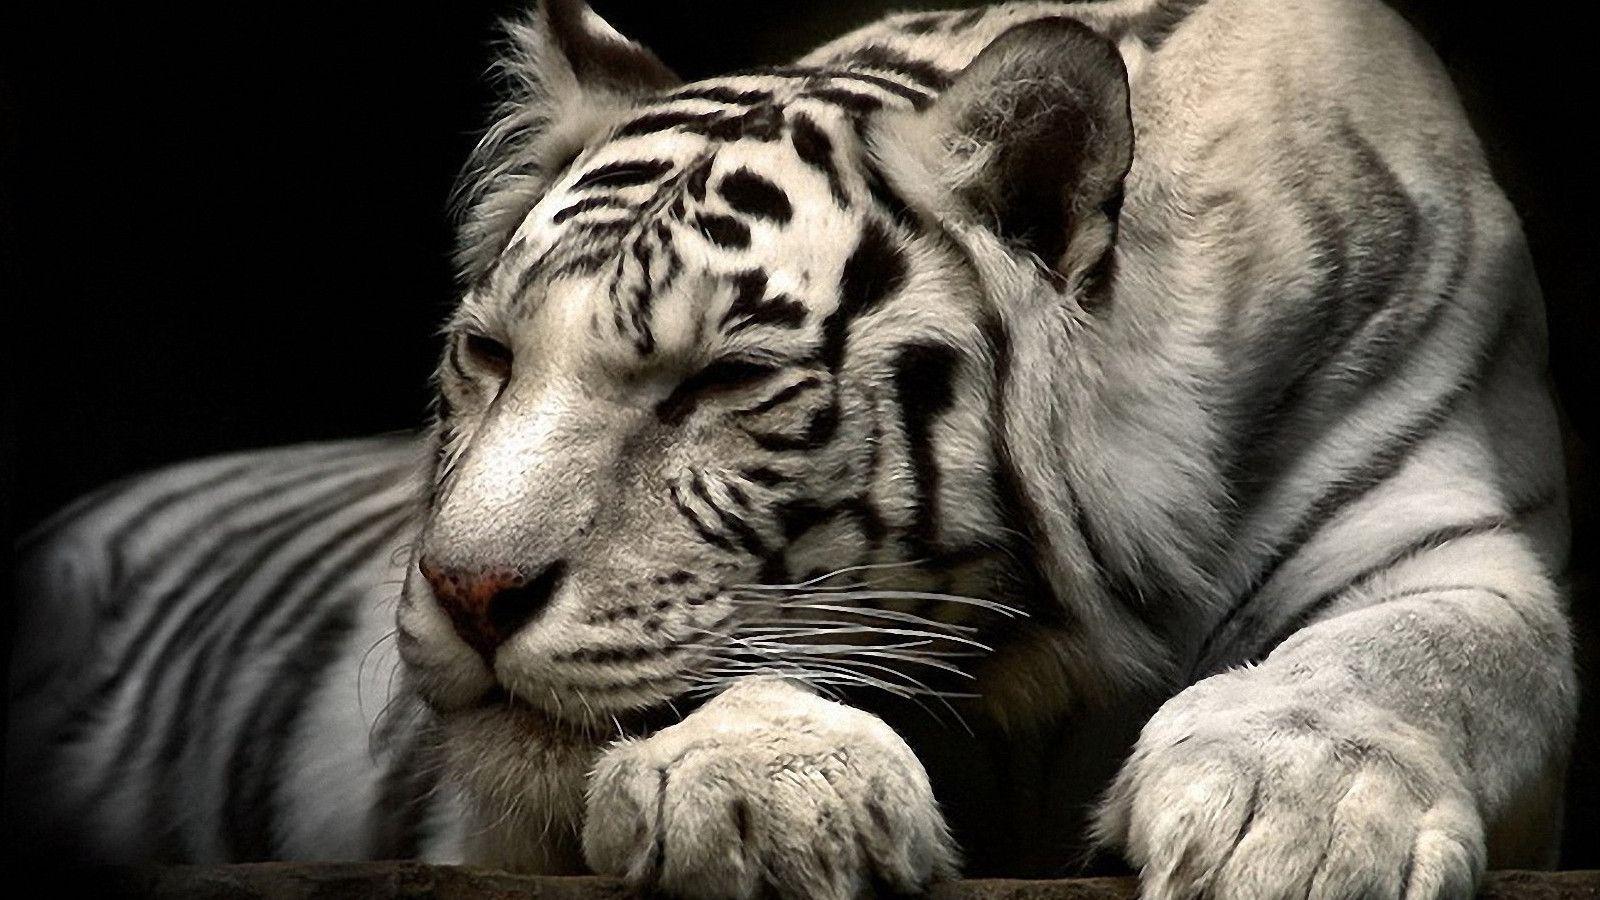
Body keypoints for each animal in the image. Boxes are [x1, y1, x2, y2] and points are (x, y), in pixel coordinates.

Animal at [5, 0, 1575, 897]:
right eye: (492, 355)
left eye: (723, 380)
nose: (464, 592)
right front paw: (767, 791)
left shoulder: (1446, 533)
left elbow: (1427, 655)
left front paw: (1292, 811)